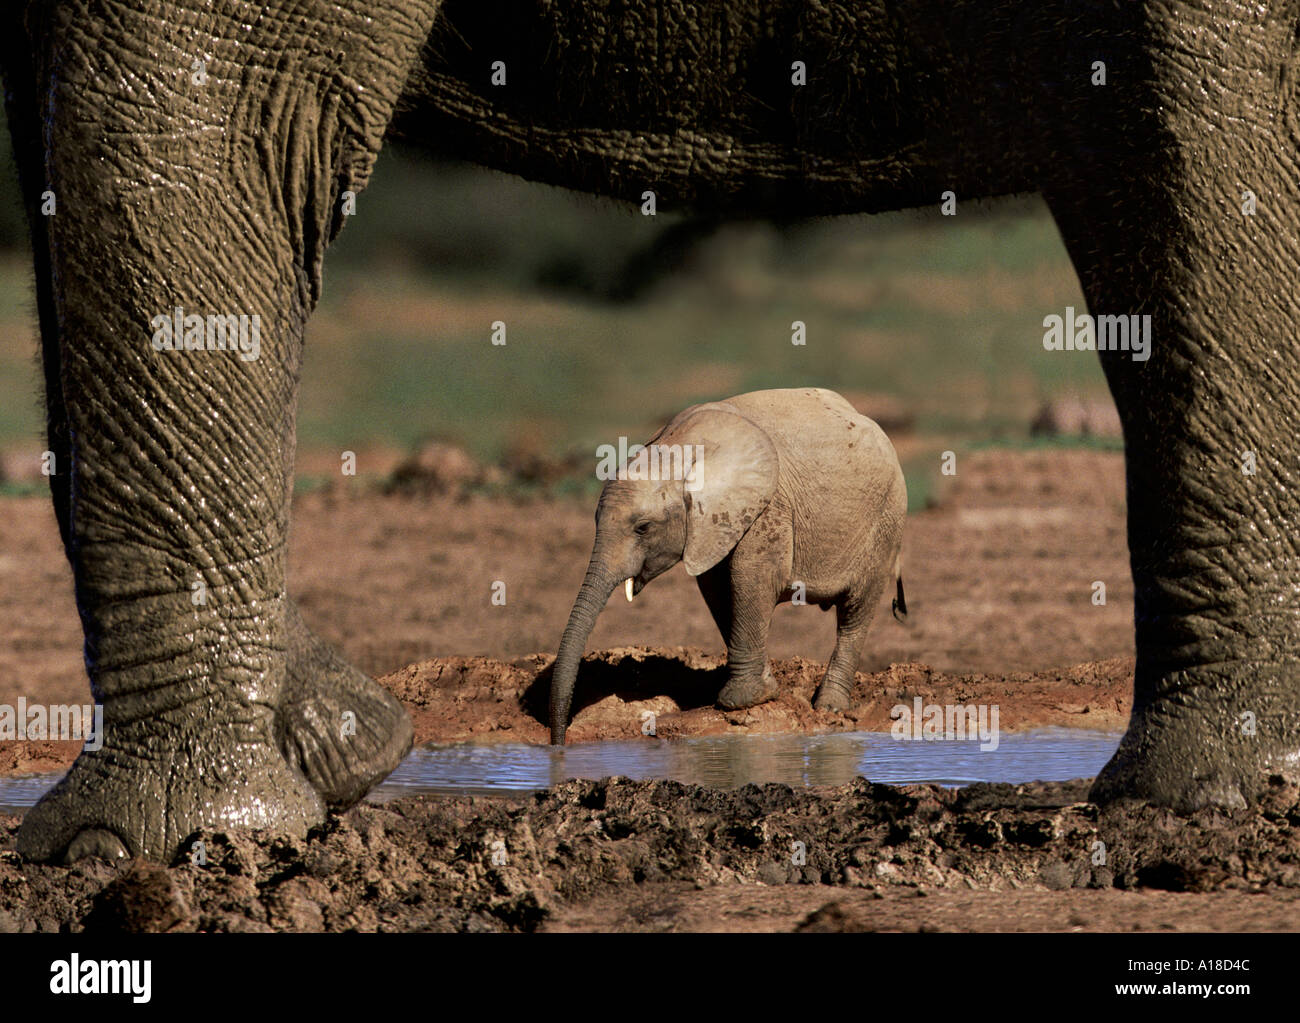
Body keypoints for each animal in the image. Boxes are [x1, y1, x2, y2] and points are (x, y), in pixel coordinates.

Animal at [549, 388, 908, 745]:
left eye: (643, 528)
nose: (559, 743)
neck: (681, 446)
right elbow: (717, 587)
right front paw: (766, 688)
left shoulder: (767, 506)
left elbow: (750, 578)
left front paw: (744, 701)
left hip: (886, 520)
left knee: (855, 612)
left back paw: (830, 708)